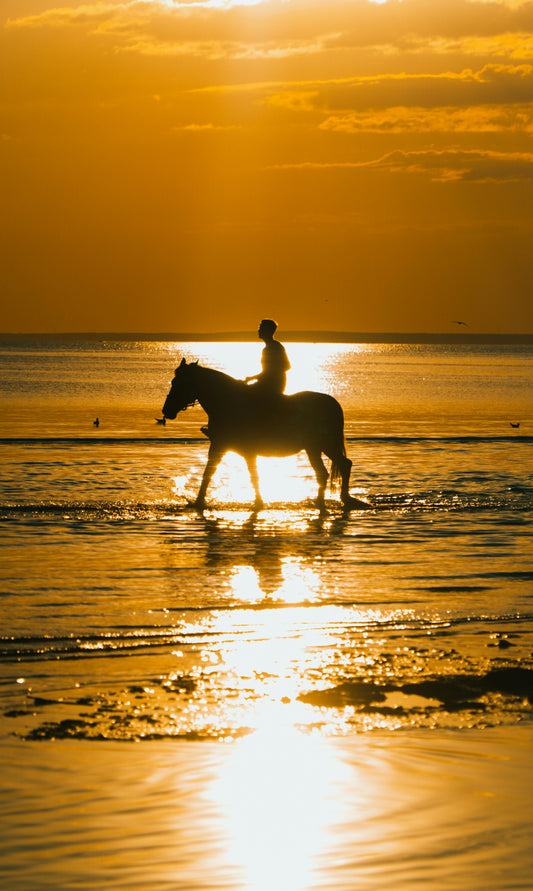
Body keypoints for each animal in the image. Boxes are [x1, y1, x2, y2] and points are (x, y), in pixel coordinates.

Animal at [162, 359, 367, 512]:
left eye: (180, 384)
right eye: (173, 382)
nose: (166, 411)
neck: (228, 403)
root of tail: (333, 404)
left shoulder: (239, 449)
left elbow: (251, 476)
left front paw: (258, 502)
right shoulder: (220, 447)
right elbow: (210, 473)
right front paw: (198, 502)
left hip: (322, 445)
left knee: (338, 467)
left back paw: (339, 500)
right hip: (316, 447)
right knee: (329, 471)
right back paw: (326, 501)